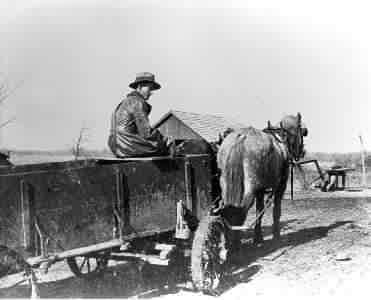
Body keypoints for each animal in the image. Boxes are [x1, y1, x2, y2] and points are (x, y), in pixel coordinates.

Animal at [218, 112, 308, 244]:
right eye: (302, 131)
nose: (302, 152)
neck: (282, 140)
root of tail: (242, 137)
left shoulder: (260, 190)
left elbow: (259, 210)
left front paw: (258, 237)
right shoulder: (280, 186)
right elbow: (276, 210)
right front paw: (276, 235)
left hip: (225, 184)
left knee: (227, 209)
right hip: (250, 186)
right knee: (241, 209)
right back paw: (235, 243)